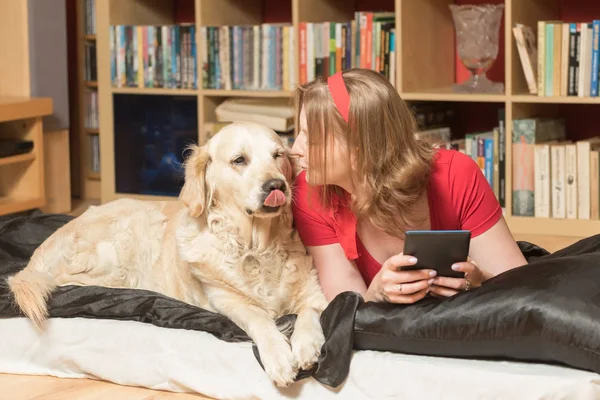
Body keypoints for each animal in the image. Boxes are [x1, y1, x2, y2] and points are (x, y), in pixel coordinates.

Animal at [5, 122, 328, 388]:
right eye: (240, 160)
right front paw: (279, 357)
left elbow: (310, 312)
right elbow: (259, 319)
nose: (277, 186)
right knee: (70, 284)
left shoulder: (314, 291)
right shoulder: (226, 299)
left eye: (278, 155)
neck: (256, 247)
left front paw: (306, 345)